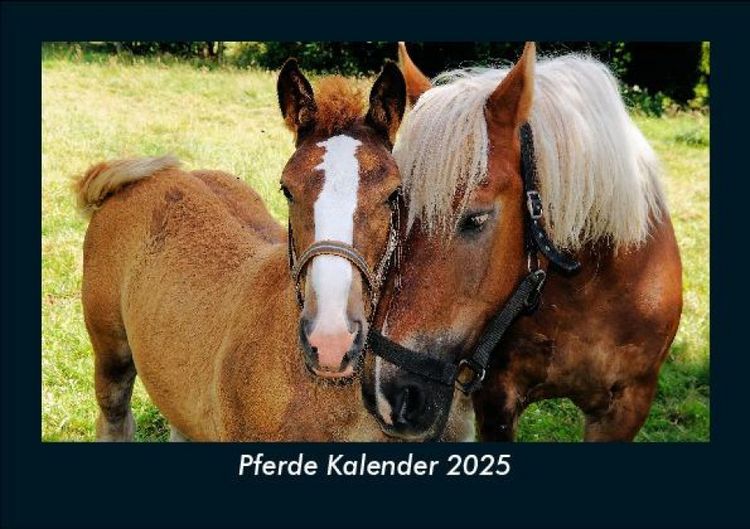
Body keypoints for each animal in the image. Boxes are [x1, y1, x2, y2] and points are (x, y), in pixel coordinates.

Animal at [362, 42, 682, 442]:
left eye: (476, 219)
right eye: (395, 208)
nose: (385, 395)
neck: (586, 287)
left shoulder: (627, 407)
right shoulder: (496, 399)